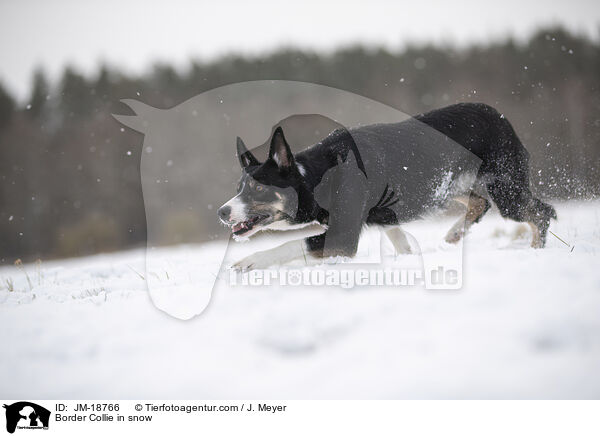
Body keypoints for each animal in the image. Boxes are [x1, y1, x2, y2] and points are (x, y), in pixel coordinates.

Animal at [218, 103, 556, 270]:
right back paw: (454, 233)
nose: (222, 212)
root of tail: (500, 116)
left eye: (258, 189)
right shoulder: (384, 216)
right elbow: (402, 243)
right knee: (480, 203)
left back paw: (536, 252)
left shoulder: (343, 237)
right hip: (445, 187)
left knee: (542, 212)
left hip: (506, 189)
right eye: (239, 187)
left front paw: (250, 261)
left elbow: (290, 244)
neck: (317, 177)